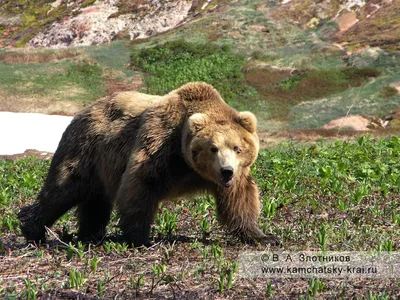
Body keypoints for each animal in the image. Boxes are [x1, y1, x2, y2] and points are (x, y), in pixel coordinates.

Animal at [18, 81, 280, 246]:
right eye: (213, 148)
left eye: (237, 148)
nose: (226, 171)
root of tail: (82, 112)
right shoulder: (160, 144)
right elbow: (140, 185)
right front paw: (140, 238)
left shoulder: (232, 176)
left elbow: (240, 200)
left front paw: (263, 236)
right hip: (86, 150)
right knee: (63, 188)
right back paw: (32, 227)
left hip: (102, 166)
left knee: (95, 199)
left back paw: (90, 234)